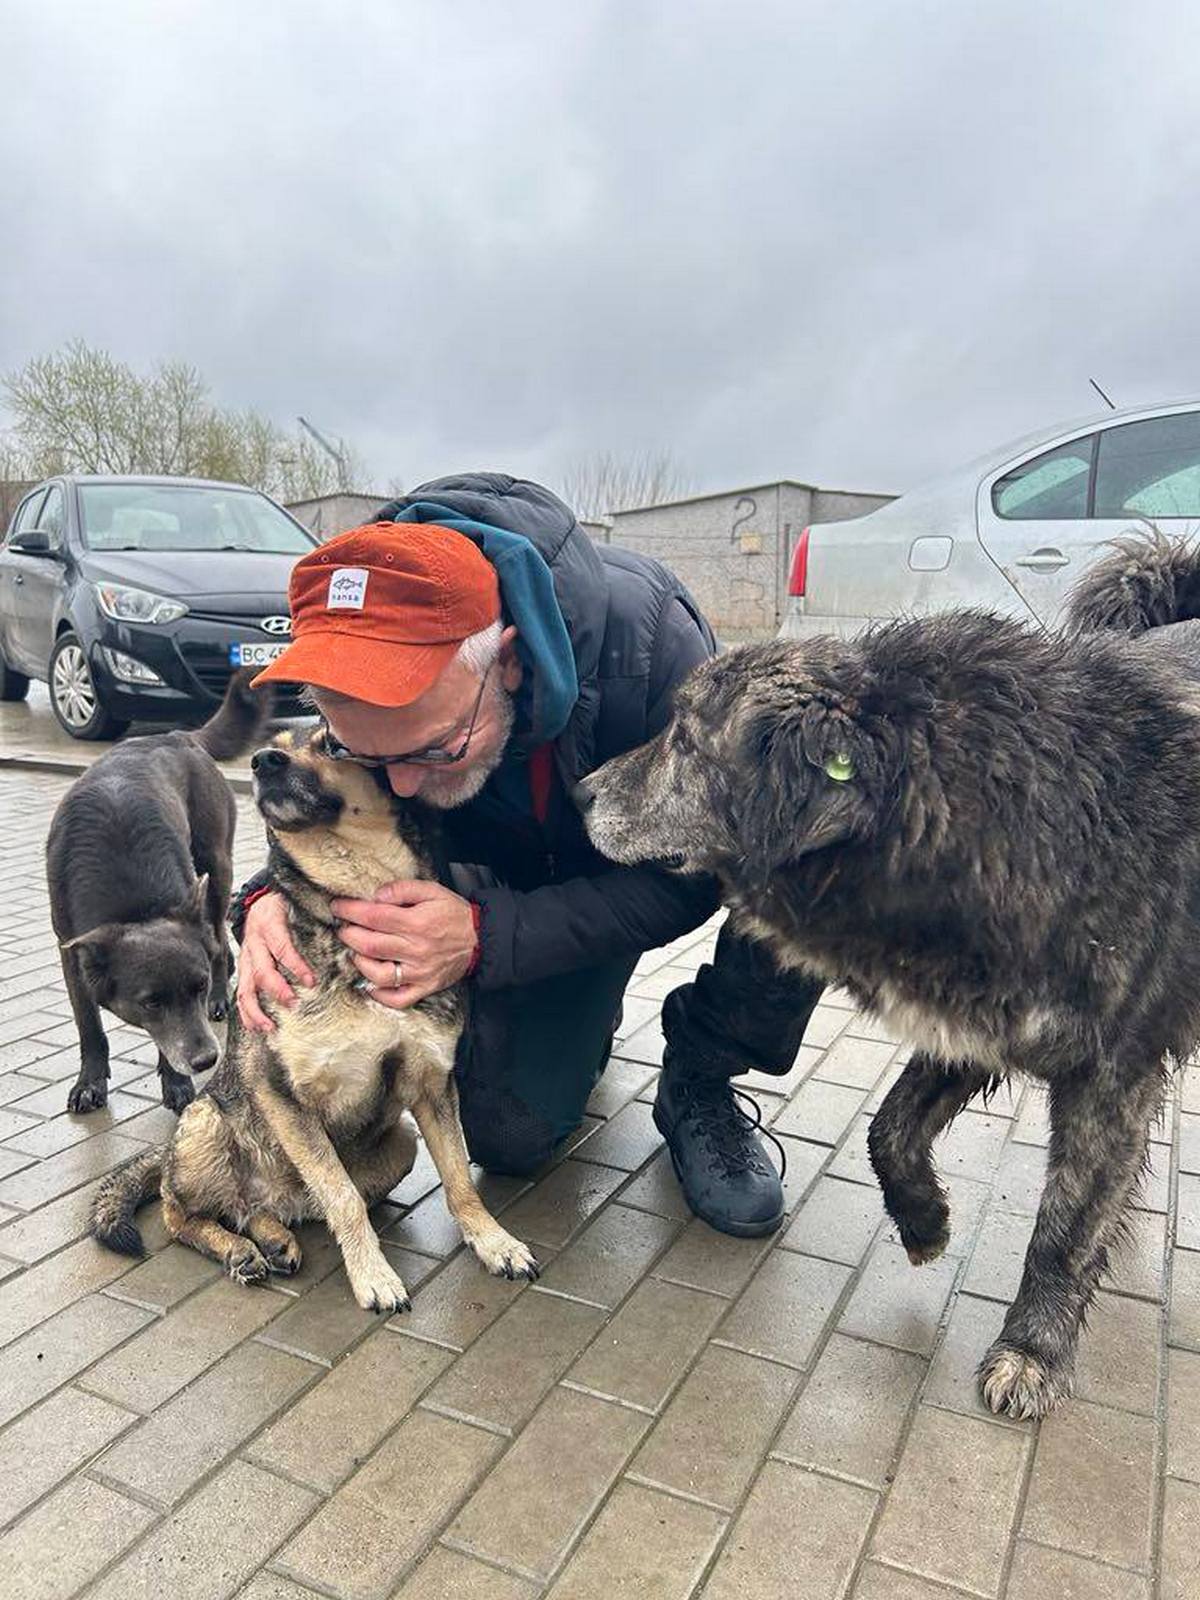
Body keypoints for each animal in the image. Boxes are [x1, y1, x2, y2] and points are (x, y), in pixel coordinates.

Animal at [49, 668, 272, 1120]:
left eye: (198, 987)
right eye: (151, 1002)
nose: (206, 1060)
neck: (132, 905)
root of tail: (176, 735)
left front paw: (176, 1082)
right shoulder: (71, 955)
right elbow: (89, 1024)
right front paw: (90, 1082)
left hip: (216, 869)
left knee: (216, 941)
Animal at [94, 732, 540, 1312]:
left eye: (332, 745)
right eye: (274, 744)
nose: (262, 762)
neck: (358, 903)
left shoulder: (431, 1084)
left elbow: (460, 1179)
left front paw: (493, 1242)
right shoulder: (280, 1091)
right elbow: (341, 1195)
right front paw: (373, 1275)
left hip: (401, 1143)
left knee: (258, 1209)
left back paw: (272, 1238)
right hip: (205, 1127)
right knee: (182, 1211)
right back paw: (236, 1249)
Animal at [579, 540, 1200, 1427]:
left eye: (687, 744)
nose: (580, 792)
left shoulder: (1111, 1072)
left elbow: (1065, 1225)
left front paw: (1034, 1349)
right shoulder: (975, 1021)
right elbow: (889, 1131)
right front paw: (923, 1220)